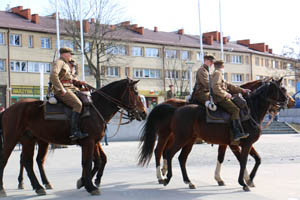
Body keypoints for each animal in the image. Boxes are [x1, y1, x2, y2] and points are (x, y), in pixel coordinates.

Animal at [0, 78, 144, 197]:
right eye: (136, 92)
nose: (143, 113)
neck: (96, 108)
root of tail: (7, 110)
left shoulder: (93, 142)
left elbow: (97, 161)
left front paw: (85, 181)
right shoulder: (89, 142)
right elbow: (88, 162)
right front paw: (90, 185)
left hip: (31, 140)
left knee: (29, 161)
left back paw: (39, 186)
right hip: (11, 139)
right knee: (6, 160)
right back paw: (3, 189)